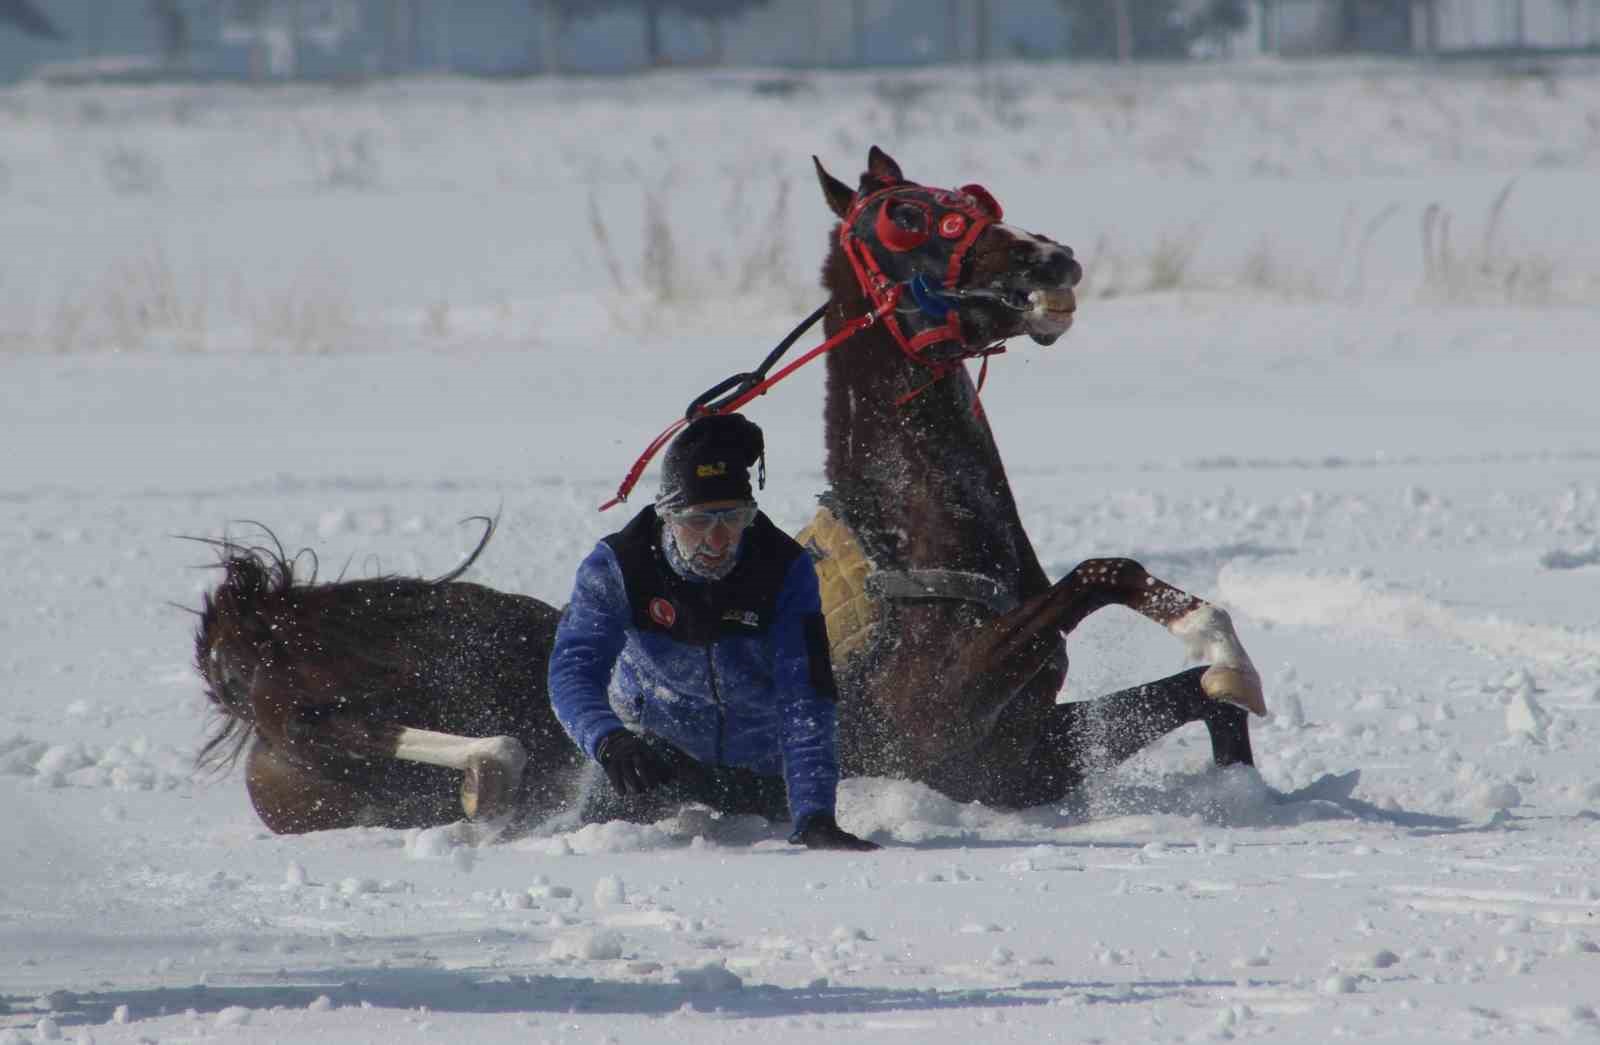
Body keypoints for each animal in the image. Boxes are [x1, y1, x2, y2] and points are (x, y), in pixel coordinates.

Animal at [190, 148, 1260, 832]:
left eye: (973, 192)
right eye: (907, 215)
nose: (1051, 257)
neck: (911, 543)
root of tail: (263, 657)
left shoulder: (1022, 756)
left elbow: (1203, 697)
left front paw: (1231, 694)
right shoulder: (937, 732)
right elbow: (1098, 573)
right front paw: (1215, 636)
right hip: (348, 733)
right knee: (370, 726)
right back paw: (491, 768)